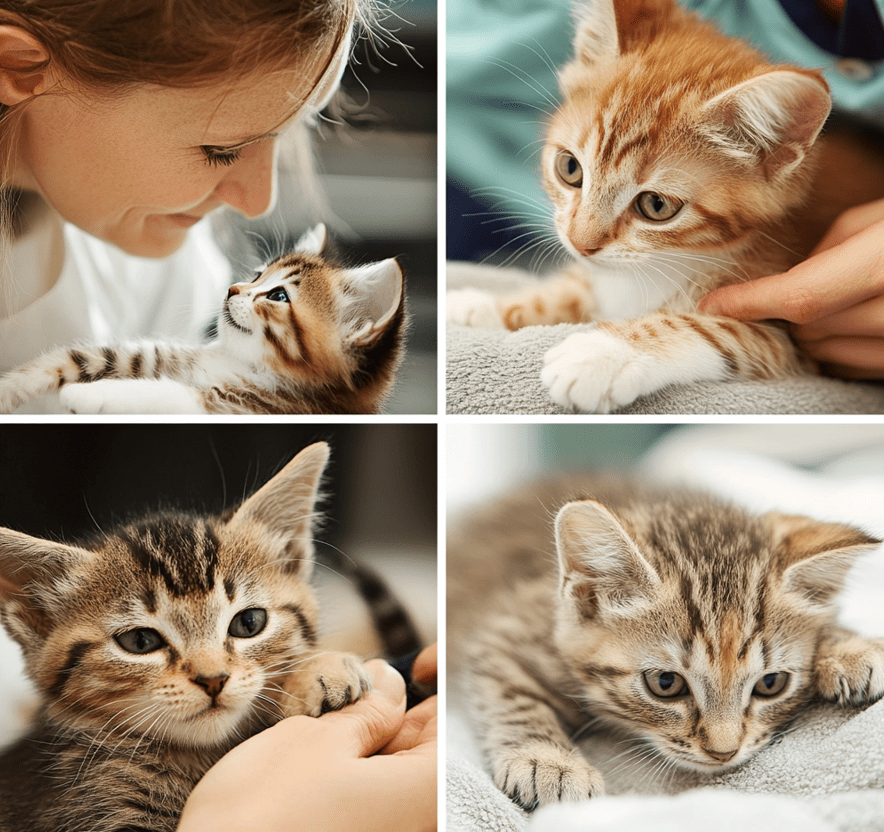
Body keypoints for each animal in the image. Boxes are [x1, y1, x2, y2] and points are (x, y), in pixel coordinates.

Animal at [0, 224, 406, 416]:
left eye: (277, 296)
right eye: (257, 274)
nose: (231, 289)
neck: (239, 361)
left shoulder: (240, 407)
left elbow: (164, 393)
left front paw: (87, 394)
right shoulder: (164, 355)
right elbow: (77, 358)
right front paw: (10, 389)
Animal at [446, 0, 884, 412]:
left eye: (655, 205)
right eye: (569, 168)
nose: (580, 243)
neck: (667, 262)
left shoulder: (794, 337)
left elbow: (712, 329)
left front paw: (604, 353)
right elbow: (576, 287)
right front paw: (485, 305)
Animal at [448, 478, 884, 808]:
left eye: (770, 684)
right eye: (665, 684)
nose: (723, 752)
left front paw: (853, 648)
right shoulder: (504, 630)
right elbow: (515, 696)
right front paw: (549, 763)